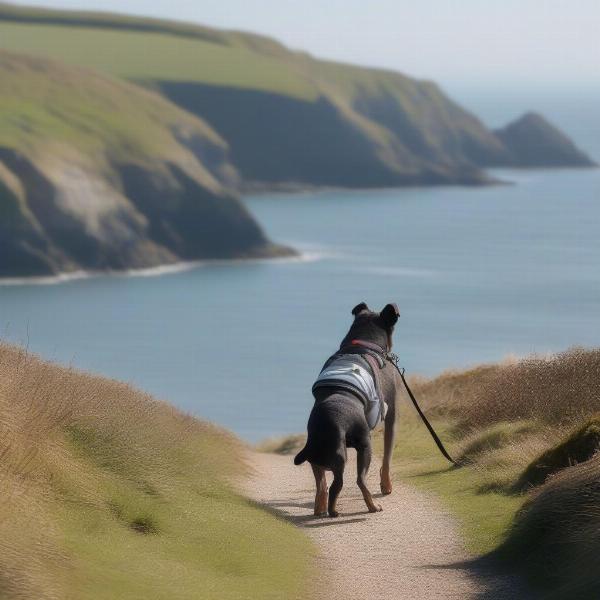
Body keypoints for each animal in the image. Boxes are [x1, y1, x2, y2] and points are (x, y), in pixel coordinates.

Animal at [294, 302, 398, 516]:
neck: (364, 343)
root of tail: (329, 426)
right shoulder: (391, 415)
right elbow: (387, 457)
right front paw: (386, 486)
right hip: (362, 448)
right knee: (353, 482)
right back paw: (366, 507)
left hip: (316, 458)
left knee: (322, 485)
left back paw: (320, 508)